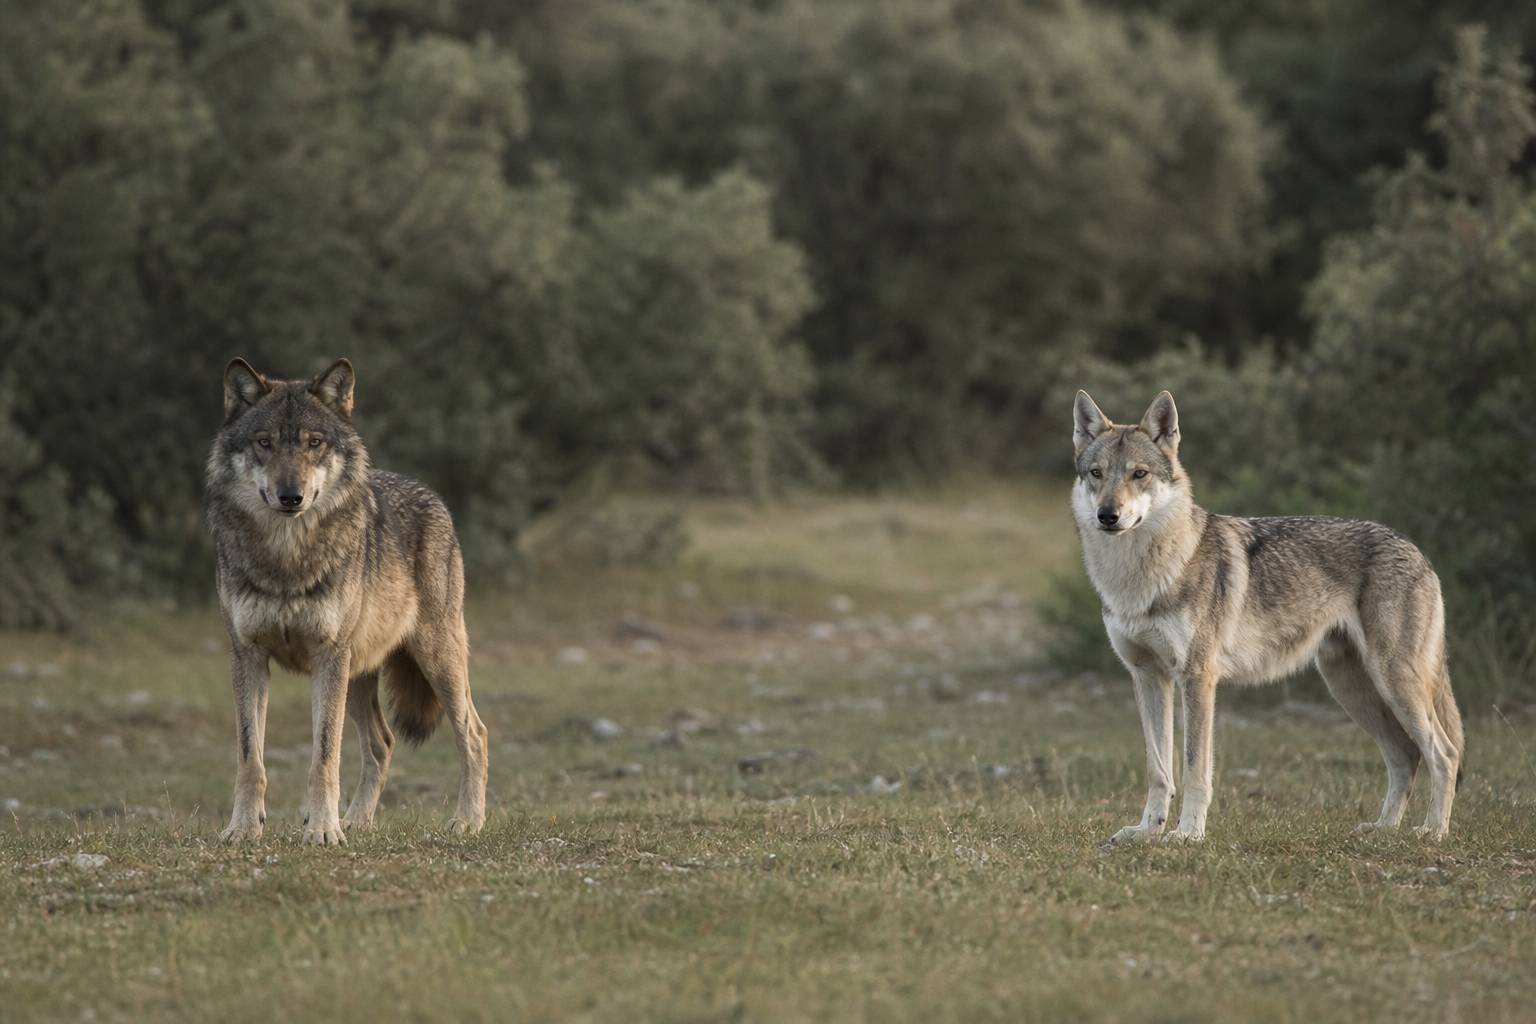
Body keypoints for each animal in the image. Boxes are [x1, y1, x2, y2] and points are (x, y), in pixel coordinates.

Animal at [206, 357, 489, 845]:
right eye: (264, 443)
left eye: (314, 443)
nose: (291, 496)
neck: (288, 557)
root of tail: (432, 495)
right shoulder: (247, 656)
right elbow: (250, 758)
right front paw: (242, 828)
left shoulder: (327, 657)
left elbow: (324, 757)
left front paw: (322, 830)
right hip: (357, 676)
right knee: (383, 743)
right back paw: (357, 820)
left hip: (434, 659)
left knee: (474, 733)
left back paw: (468, 820)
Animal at [1072, 390, 1463, 847]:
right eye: (1096, 473)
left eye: (1139, 474)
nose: (1108, 515)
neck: (1139, 579)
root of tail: (1417, 550)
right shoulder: (1148, 677)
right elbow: (1158, 770)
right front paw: (1146, 830)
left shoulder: (1197, 678)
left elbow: (1195, 769)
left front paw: (1188, 834)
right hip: (1351, 689)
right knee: (1405, 755)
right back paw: (1383, 829)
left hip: (1393, 682)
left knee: (1443, 753)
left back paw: (1433, 831)